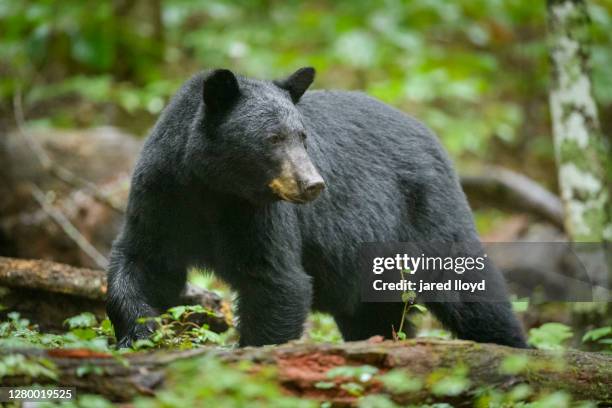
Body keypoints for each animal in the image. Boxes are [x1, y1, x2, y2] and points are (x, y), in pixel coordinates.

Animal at [107, 67, 528, 348]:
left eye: (303, 136)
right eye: (273, 138)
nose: (313, 184)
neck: (213, 189)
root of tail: (432, 136)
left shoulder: (258, 215)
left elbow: (277, 282)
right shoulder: (162, 196)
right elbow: (144, 263)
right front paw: (139, 334)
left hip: (426, 215)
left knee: (469, 293)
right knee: (374, 316)